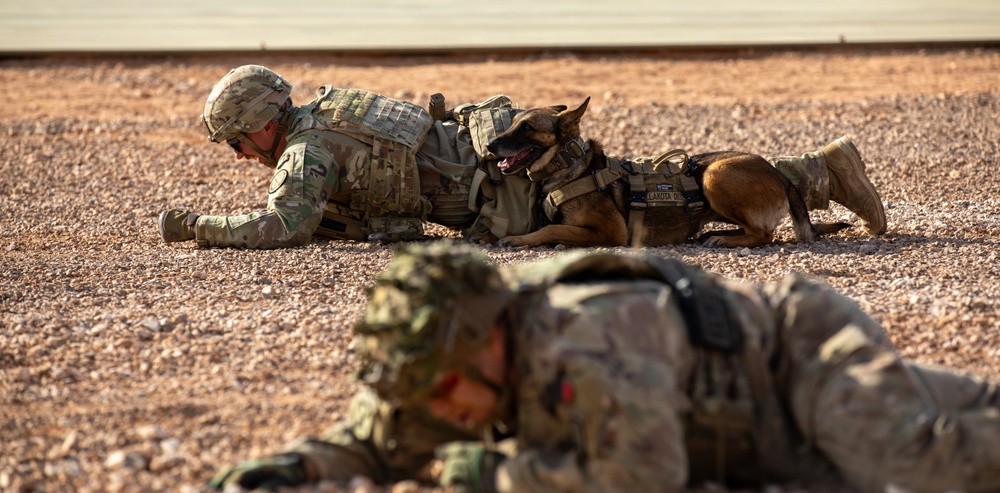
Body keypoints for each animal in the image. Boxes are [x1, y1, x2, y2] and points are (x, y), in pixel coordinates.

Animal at [488, 97, 848, 248]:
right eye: (514, 123)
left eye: (527, 128)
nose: (490, 145)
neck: (569, 166)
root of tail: (780, 175)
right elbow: (551, 227)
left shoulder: (610, 232)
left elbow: (551, 229)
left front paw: (518, 239)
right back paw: (717, 234)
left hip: (716, 174)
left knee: (764, 234)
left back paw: (723, 239)